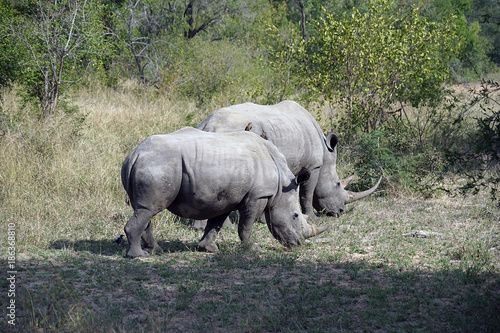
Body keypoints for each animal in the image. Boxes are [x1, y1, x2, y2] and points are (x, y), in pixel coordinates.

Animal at [120, 126, 330, 256]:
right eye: (295, 216)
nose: (298, 244)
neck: (282, 183)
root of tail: (135, 154)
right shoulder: (258, 196)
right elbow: (246, 225)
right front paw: (252, 248)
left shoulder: (227, 198)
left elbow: (216, 223)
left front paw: (209, 249)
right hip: (159, 164)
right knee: (149, 209)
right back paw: (139, 256)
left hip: (152, 163)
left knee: (144, 210)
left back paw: (155, 251)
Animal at [197, 100, 380, 217]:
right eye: (337, 184)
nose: (340, 212)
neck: (325, 152)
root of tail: (209, 125)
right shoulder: (313, 165)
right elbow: (307, 193)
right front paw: (312, 217)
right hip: (229, 134)